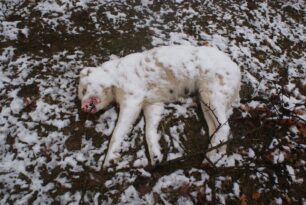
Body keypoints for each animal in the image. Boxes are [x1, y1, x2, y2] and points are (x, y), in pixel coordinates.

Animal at [77, 45, 240, 168]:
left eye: (84, 90)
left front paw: (107, 161)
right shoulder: (153, 104)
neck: (115, 77)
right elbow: (149, 131)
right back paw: (210, 159)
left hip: (214, 95)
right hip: (205, 101)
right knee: (215, 129)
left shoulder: (132, 100)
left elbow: (117, 132)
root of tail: (237, 72)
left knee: (225, 128)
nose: (83, 107)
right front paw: (155, 157)